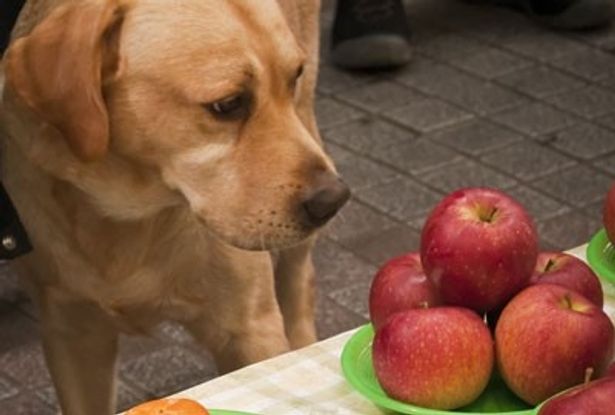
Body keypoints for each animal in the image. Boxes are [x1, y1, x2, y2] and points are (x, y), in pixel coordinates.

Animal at [0, 1, 348, 414]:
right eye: (228, 105)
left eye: (291, 79)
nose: (333, 200)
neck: (127, 216)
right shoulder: (71, 330)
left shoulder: (251, 329)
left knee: (298, 280)